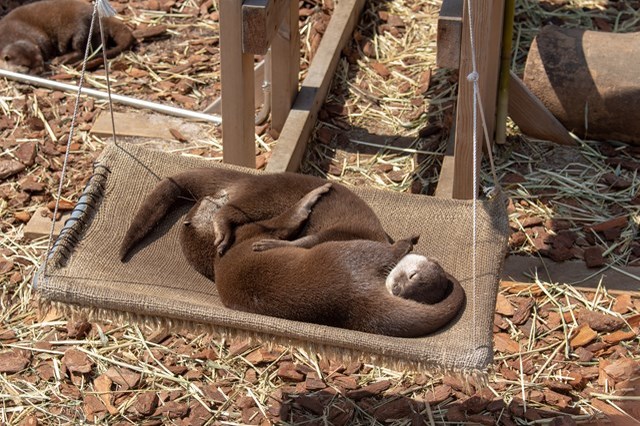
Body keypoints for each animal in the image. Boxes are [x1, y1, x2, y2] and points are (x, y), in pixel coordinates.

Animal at [210, 185, 464, 338]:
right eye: (413, 276)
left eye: (416, 297)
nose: (398, 290)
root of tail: (353, 295)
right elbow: (303, 242)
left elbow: (300, 241)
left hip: (347, 254)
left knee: (288, 220)